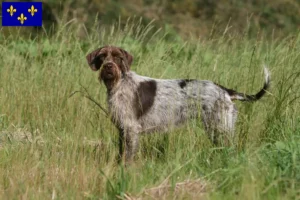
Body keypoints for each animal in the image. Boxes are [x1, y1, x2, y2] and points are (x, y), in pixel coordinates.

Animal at [85, 45, 270, 164]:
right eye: (102, 56)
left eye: (118, 57)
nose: (109, 67)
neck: (119, 83)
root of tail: (225, 90)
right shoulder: (122, 129)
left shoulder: (131, 129)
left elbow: (128, 157)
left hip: (221, 128)